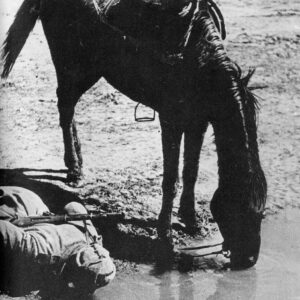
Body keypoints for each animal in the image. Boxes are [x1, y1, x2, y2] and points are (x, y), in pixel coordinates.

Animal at [0, 0, 268, 270]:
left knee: (69, 108)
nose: (250, 259)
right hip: (72, 67)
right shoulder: (171, 119)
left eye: (261, 212)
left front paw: (191, 220)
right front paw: (165, 237)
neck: (196, 57)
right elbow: (171, 180)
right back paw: (74, 169)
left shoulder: (198, 121)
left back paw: (79, 164)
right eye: (237, 209)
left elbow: (190, 172)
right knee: (65, 107)